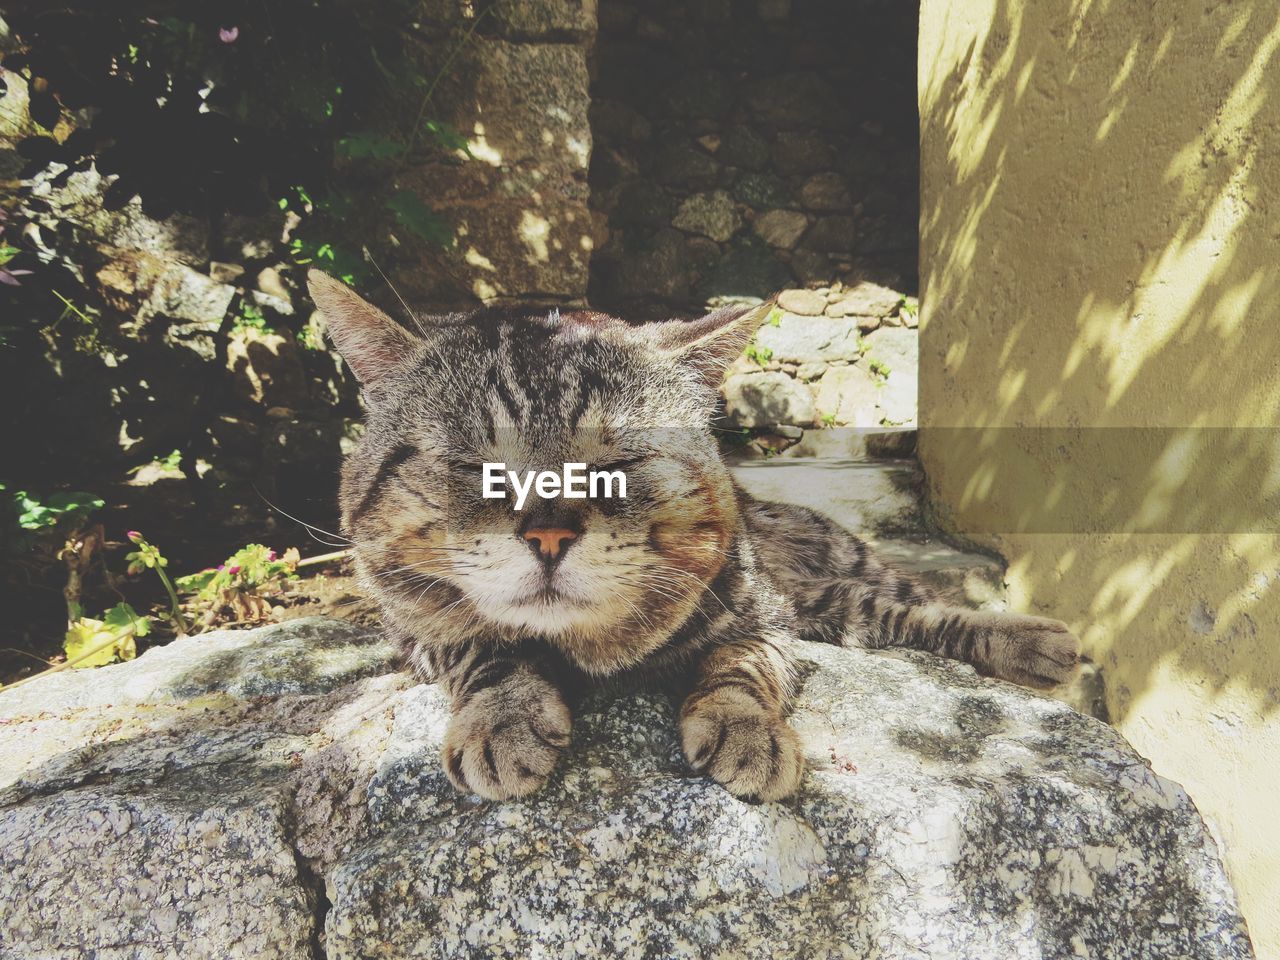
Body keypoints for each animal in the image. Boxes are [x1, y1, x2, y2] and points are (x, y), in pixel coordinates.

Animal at [307, 271, 1080, 803]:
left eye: (617, 467)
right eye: (475, 467)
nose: (550, 535)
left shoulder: (764, 621)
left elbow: (739, 668)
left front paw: (745, 729)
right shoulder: (411, 632)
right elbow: (487, 648)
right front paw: (505, 715)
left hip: (831, 589)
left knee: (911, 607)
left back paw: (1035, 641)